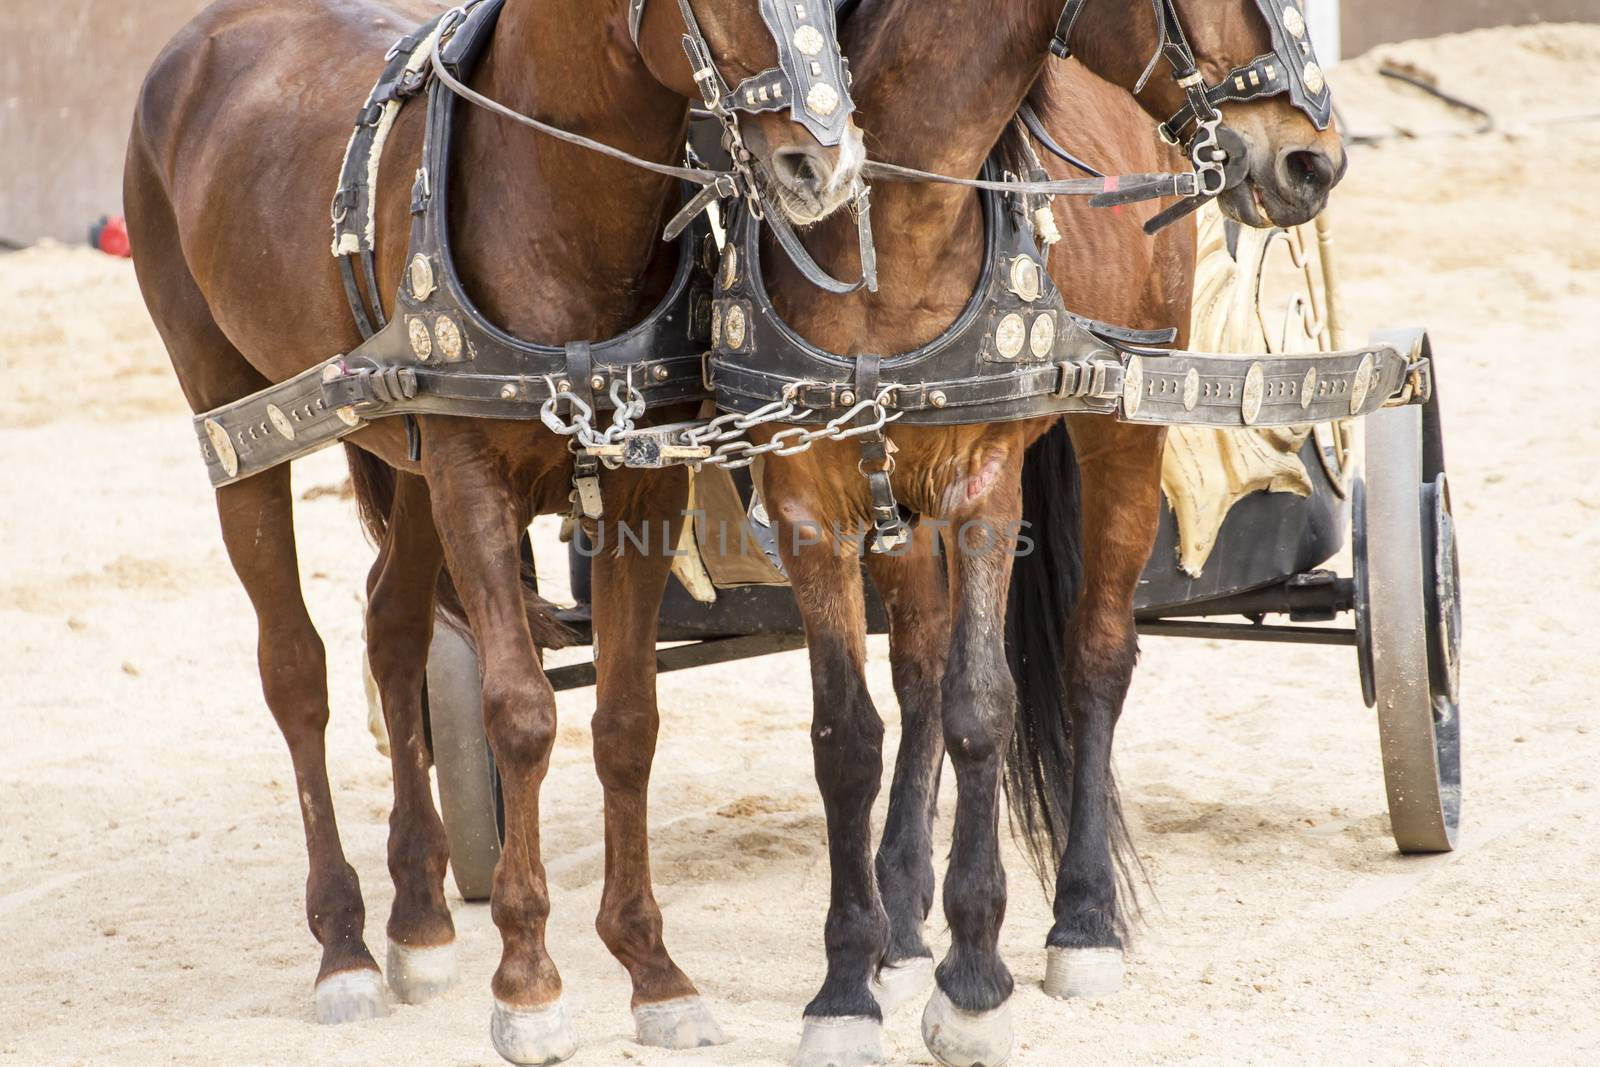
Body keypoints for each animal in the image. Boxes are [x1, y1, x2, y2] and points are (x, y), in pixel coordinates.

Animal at [124, 0, 864, 1055]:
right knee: (295, 669)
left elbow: (627, 722)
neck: (553, 196)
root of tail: (199, 42)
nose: (825, 165)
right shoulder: (472, 478)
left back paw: (419, 918)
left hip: (410, 461)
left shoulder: (641, 483)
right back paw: (344, 945)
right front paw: (528, 980)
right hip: (234, 421)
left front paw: (652, 969)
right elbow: (519, 713)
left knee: (392, 628)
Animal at [745, 2, 1337, 1067]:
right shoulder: (812, 497)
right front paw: (848, 983)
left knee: (1097, 656)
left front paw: (977, 983)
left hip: (1123, 436)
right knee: (920, 668)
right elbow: (847, 733)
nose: (1317, 160)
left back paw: (1084, 919)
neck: (890, 239)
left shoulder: (986, 487)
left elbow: (984, 706)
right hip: (901, 510)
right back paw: (902, 916)